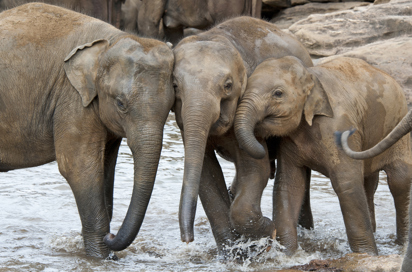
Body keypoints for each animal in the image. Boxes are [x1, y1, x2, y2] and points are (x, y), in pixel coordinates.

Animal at [0, 2, 175, 260]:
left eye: (172, 106)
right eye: (120, 103)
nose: (112, 236)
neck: (109, 42)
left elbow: (105, 167)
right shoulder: (73, 99)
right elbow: (79, 167)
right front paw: (101, 257)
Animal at [172, 15, 314, 258]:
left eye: (228, 85)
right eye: (174, 85)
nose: (187, 239)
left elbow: (256, 169)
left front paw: (268, 235)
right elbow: (206, 174)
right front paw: (232, 253)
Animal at [233, 56, 412, 256]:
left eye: (278, 93)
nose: (265, 148)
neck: (311, 75)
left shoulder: (339, 128)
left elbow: (347, 184)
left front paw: (366, 255)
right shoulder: (289, 140)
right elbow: (289, 184)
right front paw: (288, 254)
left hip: (398, 127)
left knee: (399, 180)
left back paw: (402, 244)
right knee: (369, 183)